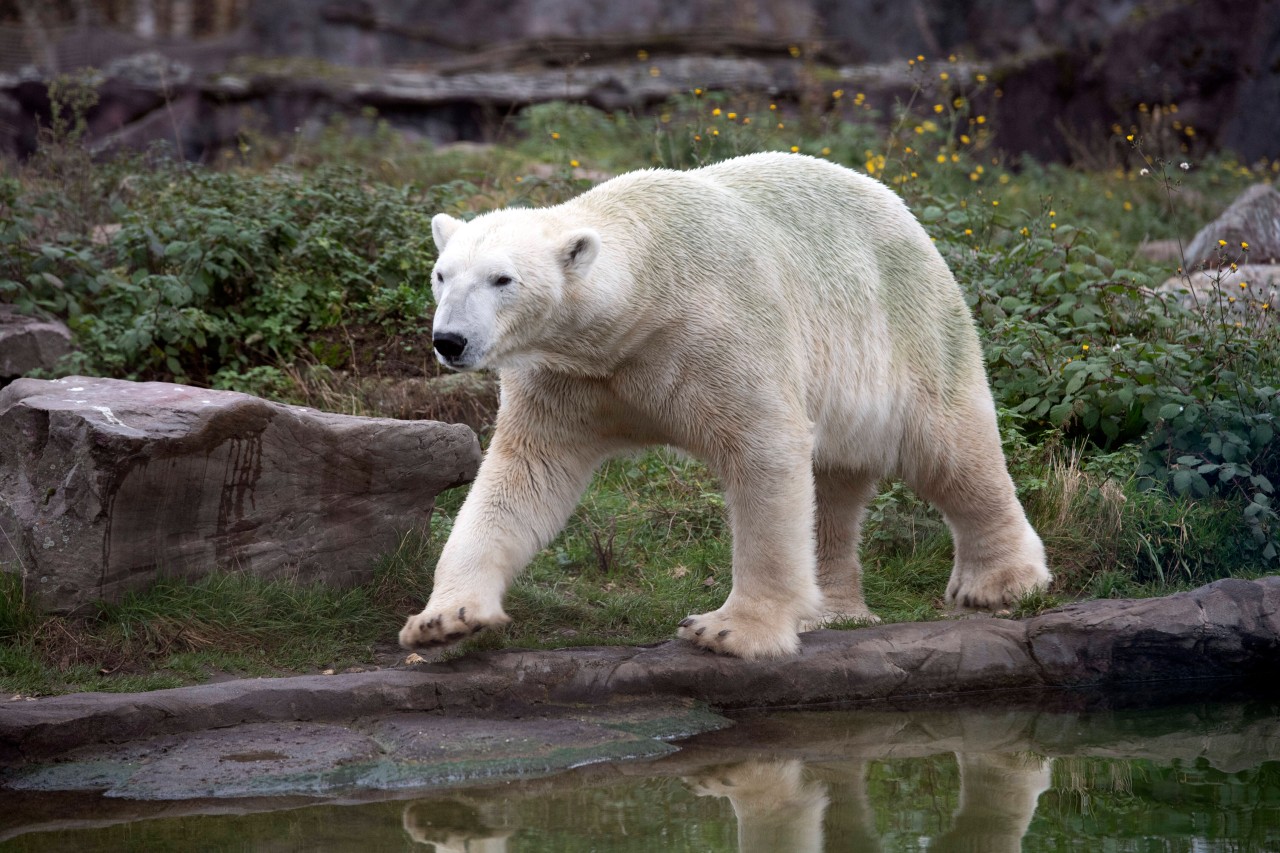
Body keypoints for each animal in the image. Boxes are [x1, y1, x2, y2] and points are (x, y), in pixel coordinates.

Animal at [399, 151, 1049, 655]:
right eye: (442, 274)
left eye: (502, 279)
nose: (449, 340)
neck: (643, 298)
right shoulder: (570, 377)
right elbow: (523, 476)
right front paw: (444, 619)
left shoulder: (719, 334)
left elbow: (764, 451)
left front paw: (730, 630)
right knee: (836, 481)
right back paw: (832, 608)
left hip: (910, 328)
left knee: (950, 447)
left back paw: (1000, 582)